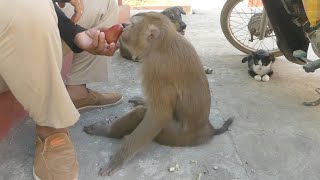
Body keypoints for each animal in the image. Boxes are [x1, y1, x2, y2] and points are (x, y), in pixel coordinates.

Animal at [83, 11, 232, 176]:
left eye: (133, 25)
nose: (123, 25)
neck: (161, 44)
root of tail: (207, 130)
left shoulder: (156, 69)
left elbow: (159, 115)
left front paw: (119, 159)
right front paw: (142, 100)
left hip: (174, 136)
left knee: (142, 114)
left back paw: (108, 132)